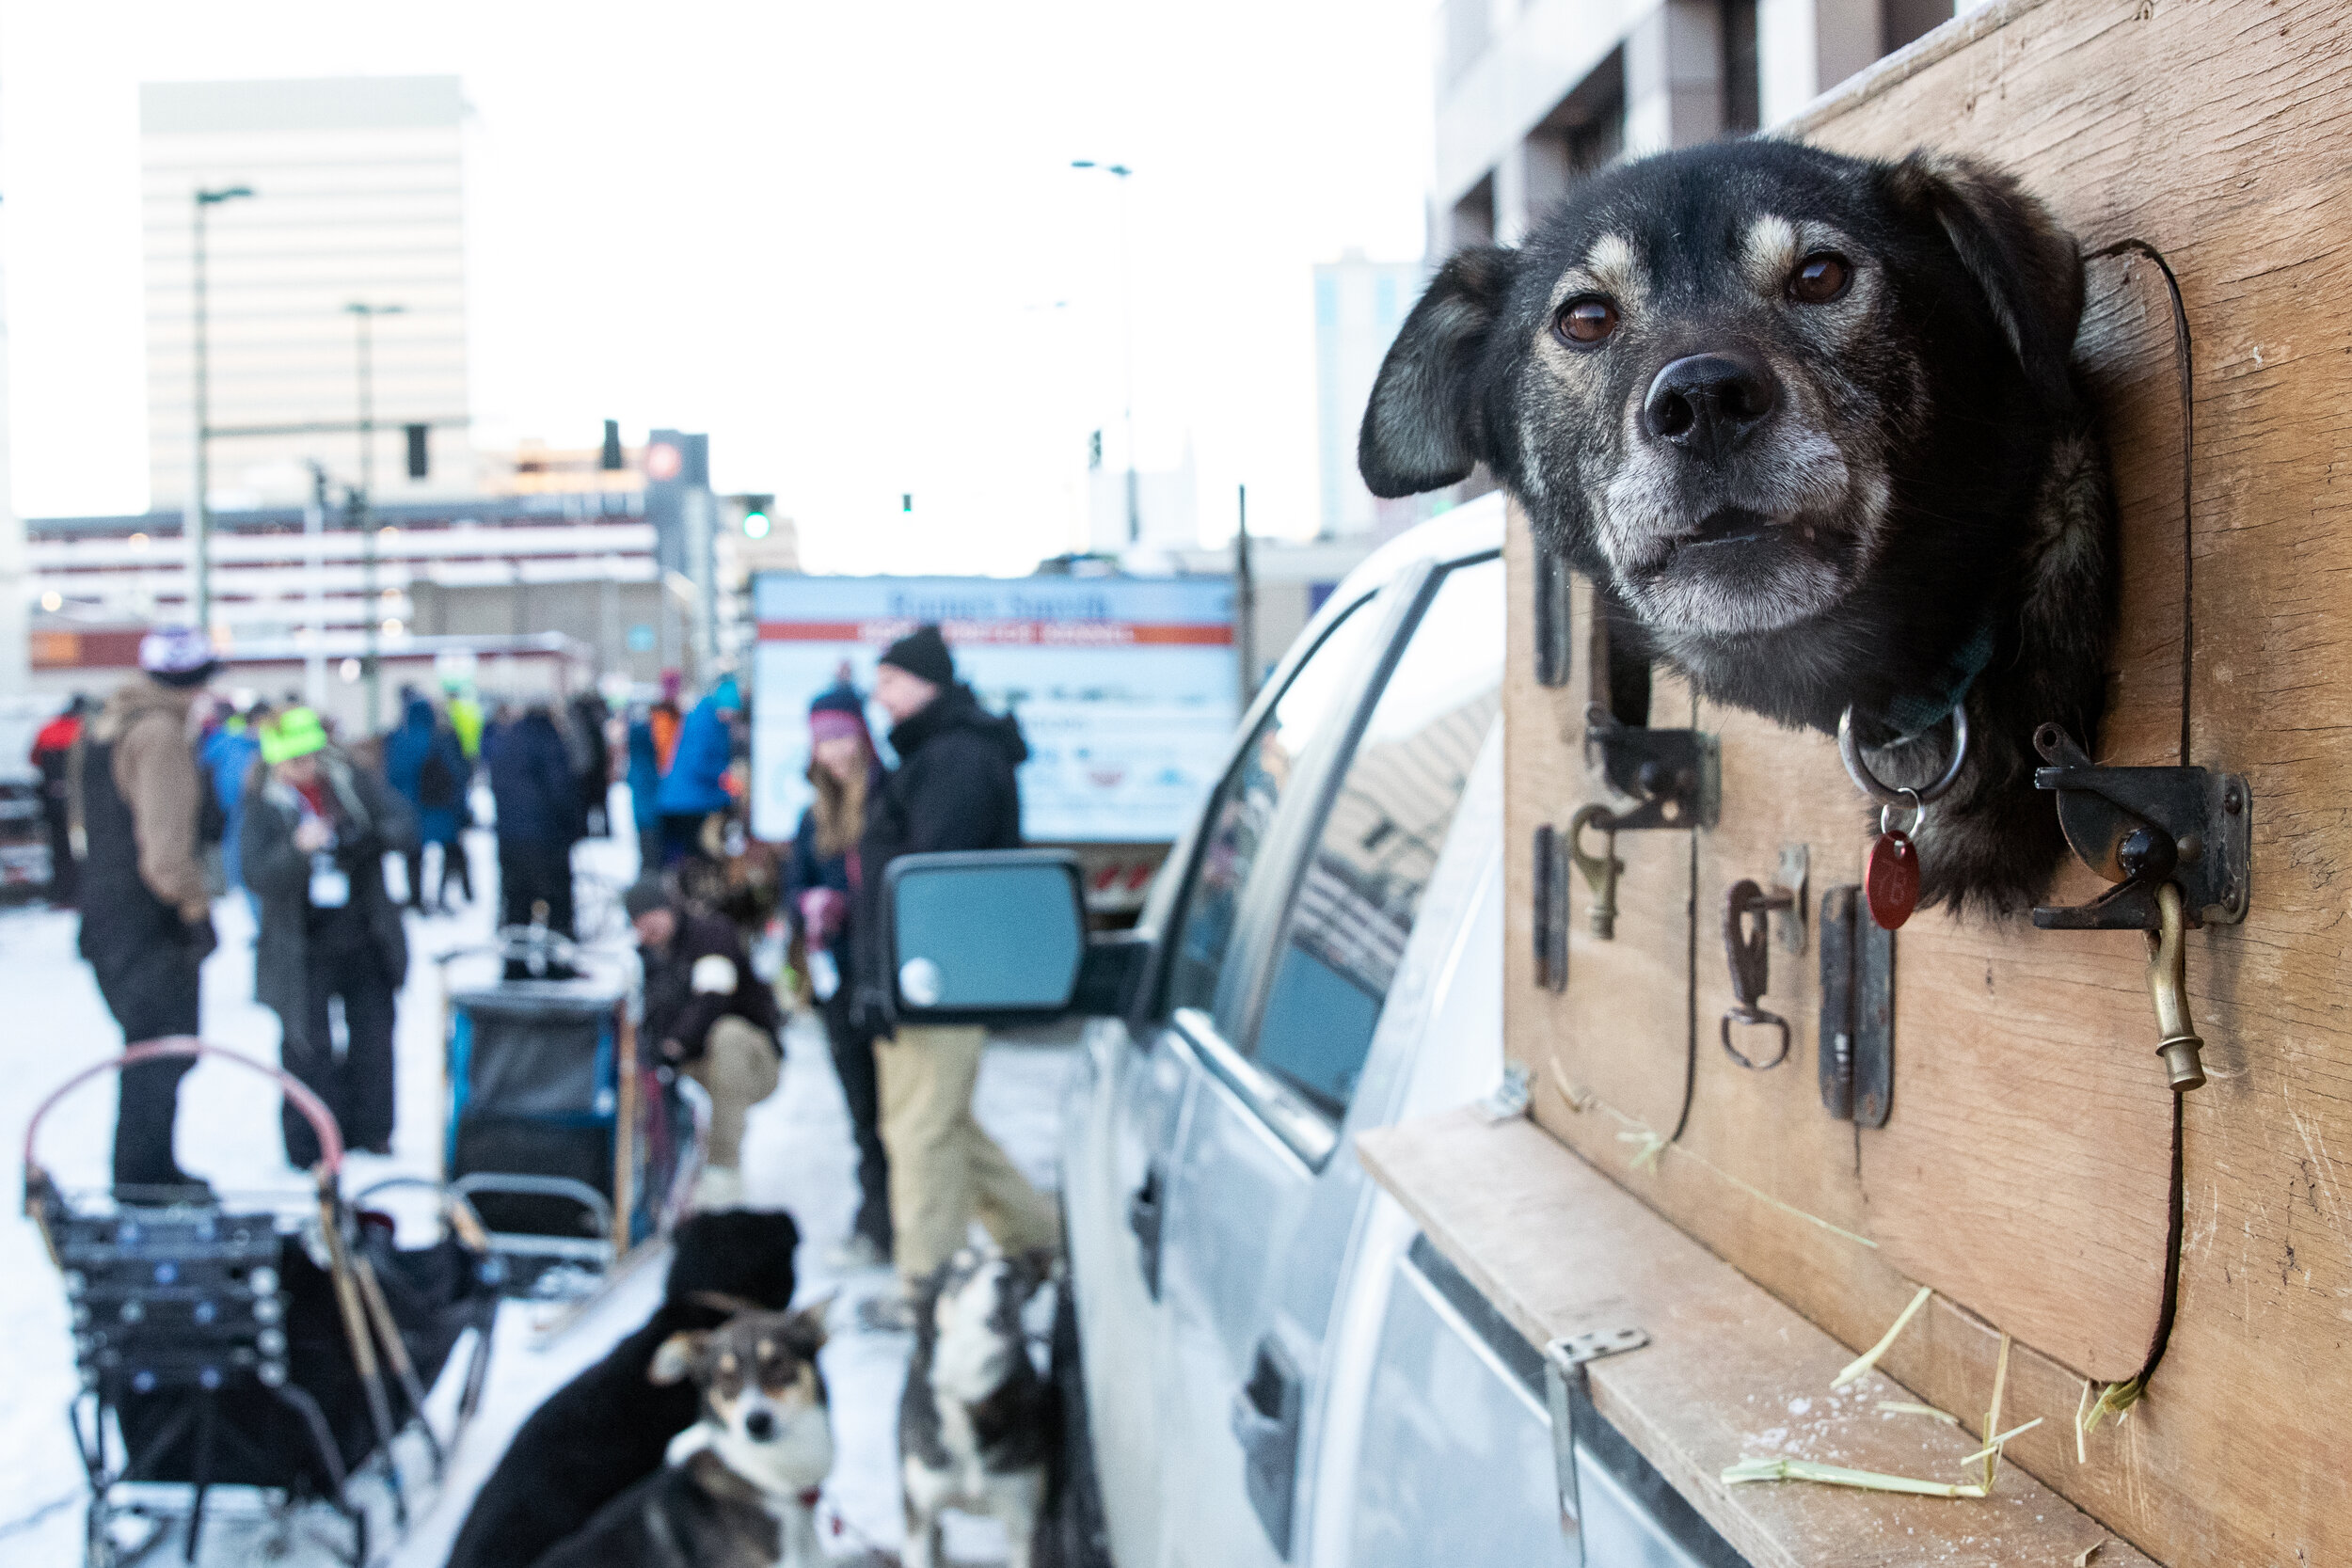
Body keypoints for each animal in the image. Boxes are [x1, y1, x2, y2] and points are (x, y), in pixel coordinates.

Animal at [894, 1250, 1054, 1568]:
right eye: (963, 1272)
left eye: (1010, 1265)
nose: (1005, 1277)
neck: (971, 1399)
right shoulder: (919, 1515)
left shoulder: (1023, 1521)